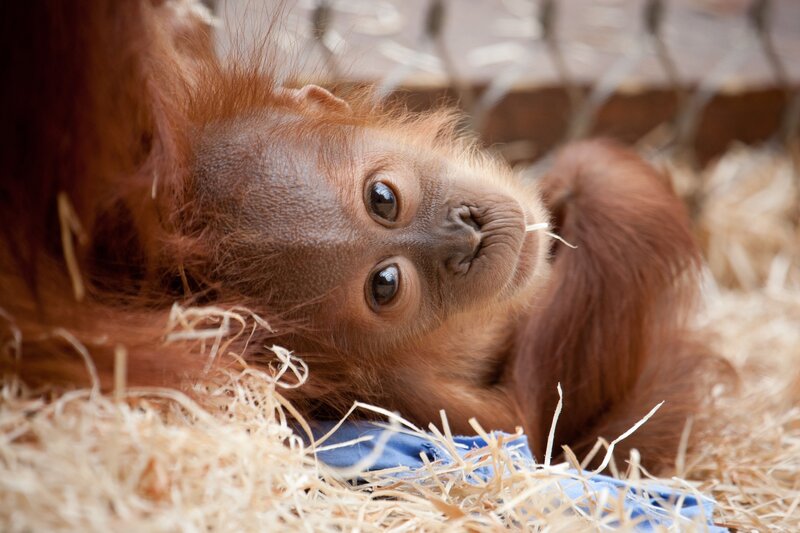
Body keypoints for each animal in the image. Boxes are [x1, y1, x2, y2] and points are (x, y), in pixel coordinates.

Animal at [0, 1, 725, 471]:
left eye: (382, 198)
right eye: (386, 285)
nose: (465, 237)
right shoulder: (423, 402)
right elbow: (542, 423)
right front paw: (591, 178)